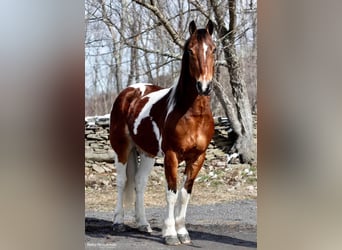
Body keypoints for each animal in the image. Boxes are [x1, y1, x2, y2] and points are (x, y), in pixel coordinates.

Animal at [109, 20, 216, 246]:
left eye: (213, 49)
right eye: (190, 50)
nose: (204, 86)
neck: (192, 114)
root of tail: (129, 92)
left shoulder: (198, 158)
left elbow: (184, 194)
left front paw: (183, 232)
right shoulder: (171, 156)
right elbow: (172, 194)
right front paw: (170, 234)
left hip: (147, 153)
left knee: (139, 183)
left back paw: (143, 224)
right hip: (121, 149)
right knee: (122, 182)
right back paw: (118, 222)